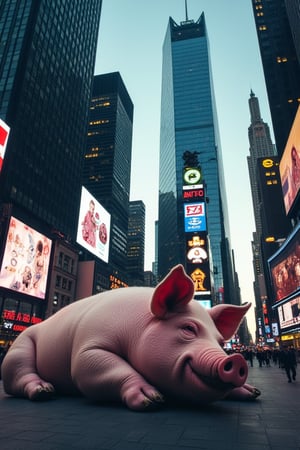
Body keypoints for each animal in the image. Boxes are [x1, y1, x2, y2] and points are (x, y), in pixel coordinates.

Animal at [1, 268, 260, 412]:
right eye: (188, 328)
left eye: (220, 342)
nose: (238, 360)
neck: (138, 327)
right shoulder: (89, 348)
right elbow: (93, 368)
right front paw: (153, 400)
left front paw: (253, 393)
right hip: (19, 347)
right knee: (19, 375)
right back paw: (44, 391)